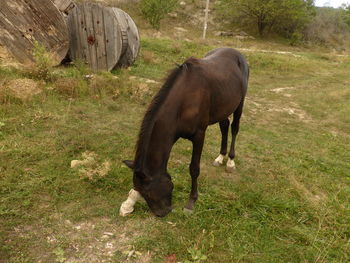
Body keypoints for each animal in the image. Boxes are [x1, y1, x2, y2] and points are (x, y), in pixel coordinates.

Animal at [123, 48, 249, 219]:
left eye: (149, 193)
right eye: (144, 193)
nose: (162, 212)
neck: (183, 101)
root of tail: (237, 54)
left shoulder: (199, 135)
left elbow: (194, 169)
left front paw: (191, 202)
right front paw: (128, 204)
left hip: (239, 104)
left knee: (234, 128)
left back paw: (230, 161)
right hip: (223, 107)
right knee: (224, 127)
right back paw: (220, 157)